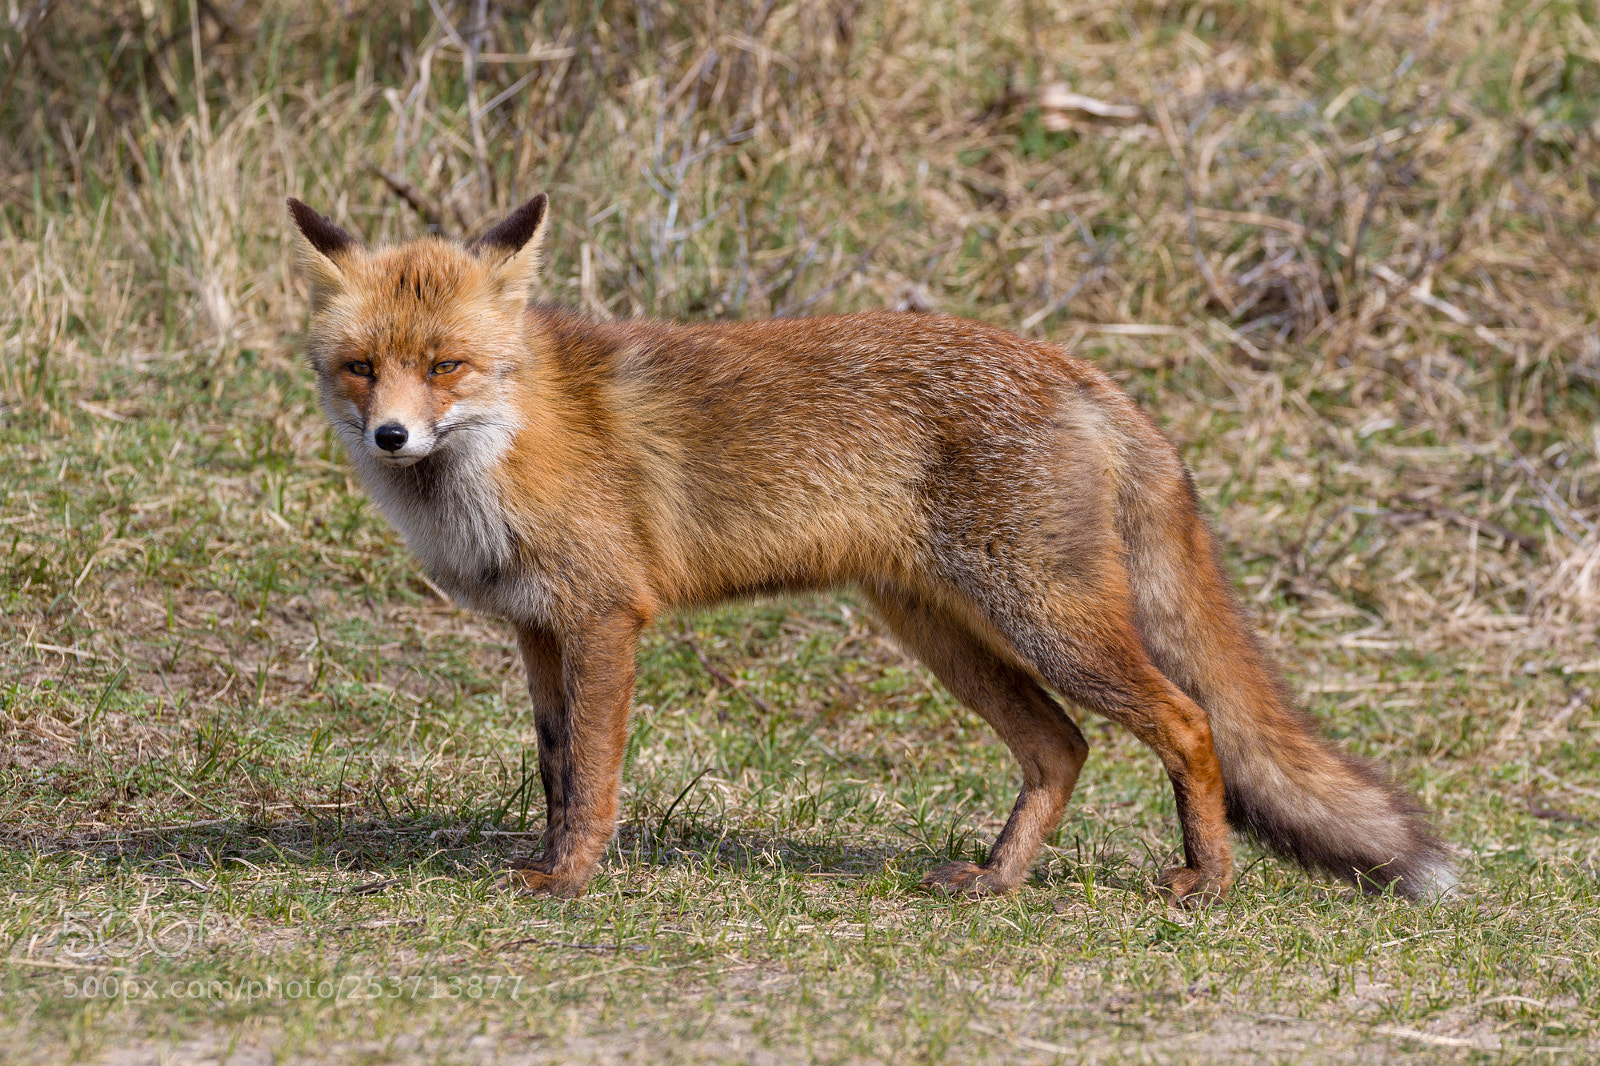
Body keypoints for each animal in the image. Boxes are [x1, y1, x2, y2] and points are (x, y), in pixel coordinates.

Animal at [286, 192, 1456, 903]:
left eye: (445, 366)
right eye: (361, 368)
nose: (391, 437)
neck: (506, 445)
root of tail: (1079, 371)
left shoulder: (606, 618)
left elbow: (596, 773)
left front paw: (572, 879)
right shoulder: (537, 628)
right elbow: (555, 763)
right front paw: (541, 861)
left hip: (1047, 619)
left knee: (1188, 720)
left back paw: (1205, 879)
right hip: (942, 634)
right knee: (1061, 748)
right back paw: (996, 880)